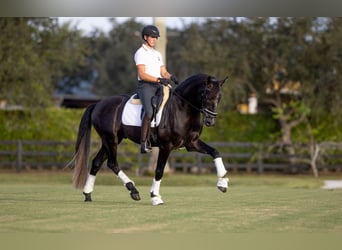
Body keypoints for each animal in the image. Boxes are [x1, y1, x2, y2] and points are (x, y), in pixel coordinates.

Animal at [71, 73, 228, 206]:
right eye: (205, 94)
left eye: (219, 96)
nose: (210, 121)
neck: (182, 108)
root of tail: (98, 104)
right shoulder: (166, 146)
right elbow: (159, 170)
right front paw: (155, 196)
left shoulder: (191, 144)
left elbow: (215, 152)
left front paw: (223, 182)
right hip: (111, 140)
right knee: (112, 163)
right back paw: (133, 190)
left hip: (111, 140)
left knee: (97, 162)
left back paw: (88, 194)